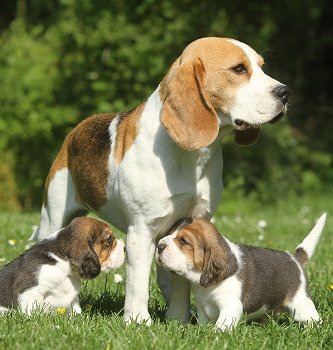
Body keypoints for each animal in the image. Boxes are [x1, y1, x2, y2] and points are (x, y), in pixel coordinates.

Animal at [31, 37, 288, 324]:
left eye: (262, 66)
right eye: (239, 69)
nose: (285, 92)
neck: (192, 157)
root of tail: (74, 133)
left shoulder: (191, 222)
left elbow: (180, 279)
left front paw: (178, 319)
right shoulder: (141, 230)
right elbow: (138, 283)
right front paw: (137, 320)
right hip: (53, 216)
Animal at [157, 213, 326, 330]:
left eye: (183, 241)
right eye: (169, 233)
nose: (159, 246)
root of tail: (294, 257)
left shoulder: (230, 306)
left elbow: (221, 326)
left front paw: (213, 335)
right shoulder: (201, 307)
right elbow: (204, 322)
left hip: (301, 304)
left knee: (314, 319)